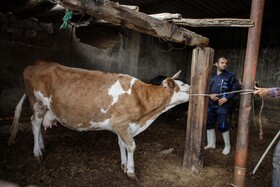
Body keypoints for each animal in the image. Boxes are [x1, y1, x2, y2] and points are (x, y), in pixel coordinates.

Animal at [8, 60, 189, 179]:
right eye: (184, 86)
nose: (193, 88)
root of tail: (36, 65)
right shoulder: (122, 123)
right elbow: (131, 146)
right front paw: (131, 171)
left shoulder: (122, 125)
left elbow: (122, 144)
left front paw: (124, 165)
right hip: (37, 103)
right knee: (35, 124)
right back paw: (37, 152)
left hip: (45, 107)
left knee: (37, 125)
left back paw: (42, 146)